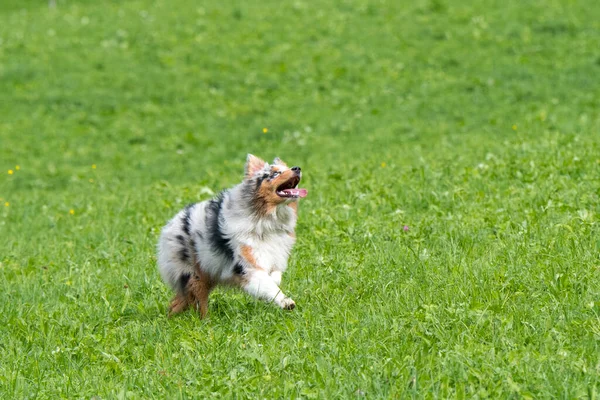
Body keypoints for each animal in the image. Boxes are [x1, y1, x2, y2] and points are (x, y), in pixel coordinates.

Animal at [157, 155, 308, 318]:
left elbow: (274, 278)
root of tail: (169, 224)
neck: (265, 219)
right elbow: (267, 284)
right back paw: (204, 320)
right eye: (275, 174)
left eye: (286, 169)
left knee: (177, 302)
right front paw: (285, 302)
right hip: (194, 275)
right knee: (197, 301)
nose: (297, 168)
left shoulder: (273, 256)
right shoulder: (248, 265)